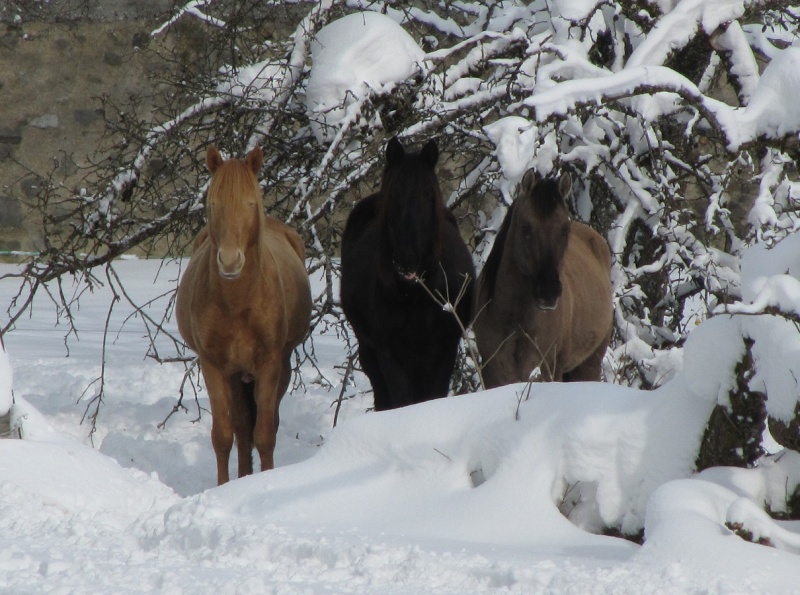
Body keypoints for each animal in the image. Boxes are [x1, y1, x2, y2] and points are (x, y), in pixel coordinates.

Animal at [177, 147, 310, 486]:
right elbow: (224, 435)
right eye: (213, 203)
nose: (229, 261)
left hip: (279, 366)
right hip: (236, 375)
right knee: (241, 427)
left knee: (261, 424)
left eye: (251, 202)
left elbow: (264, 434)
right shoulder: (213, 366)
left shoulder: (270, 364)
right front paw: (225, 487)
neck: (237, 304)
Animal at [340, 137, 476, 412]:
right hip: (369, 351)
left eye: (428, 194)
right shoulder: (391, 356)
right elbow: (402, 402)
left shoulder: (444, 352)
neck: (415, 296)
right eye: (393, 194)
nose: (406, 261)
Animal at [476, 170, 612, 388]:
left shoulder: (548, 370)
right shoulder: (493, 373)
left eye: (565, 229)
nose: (549, 292)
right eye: (526, 227)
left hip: (588, 364)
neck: (515, 322)